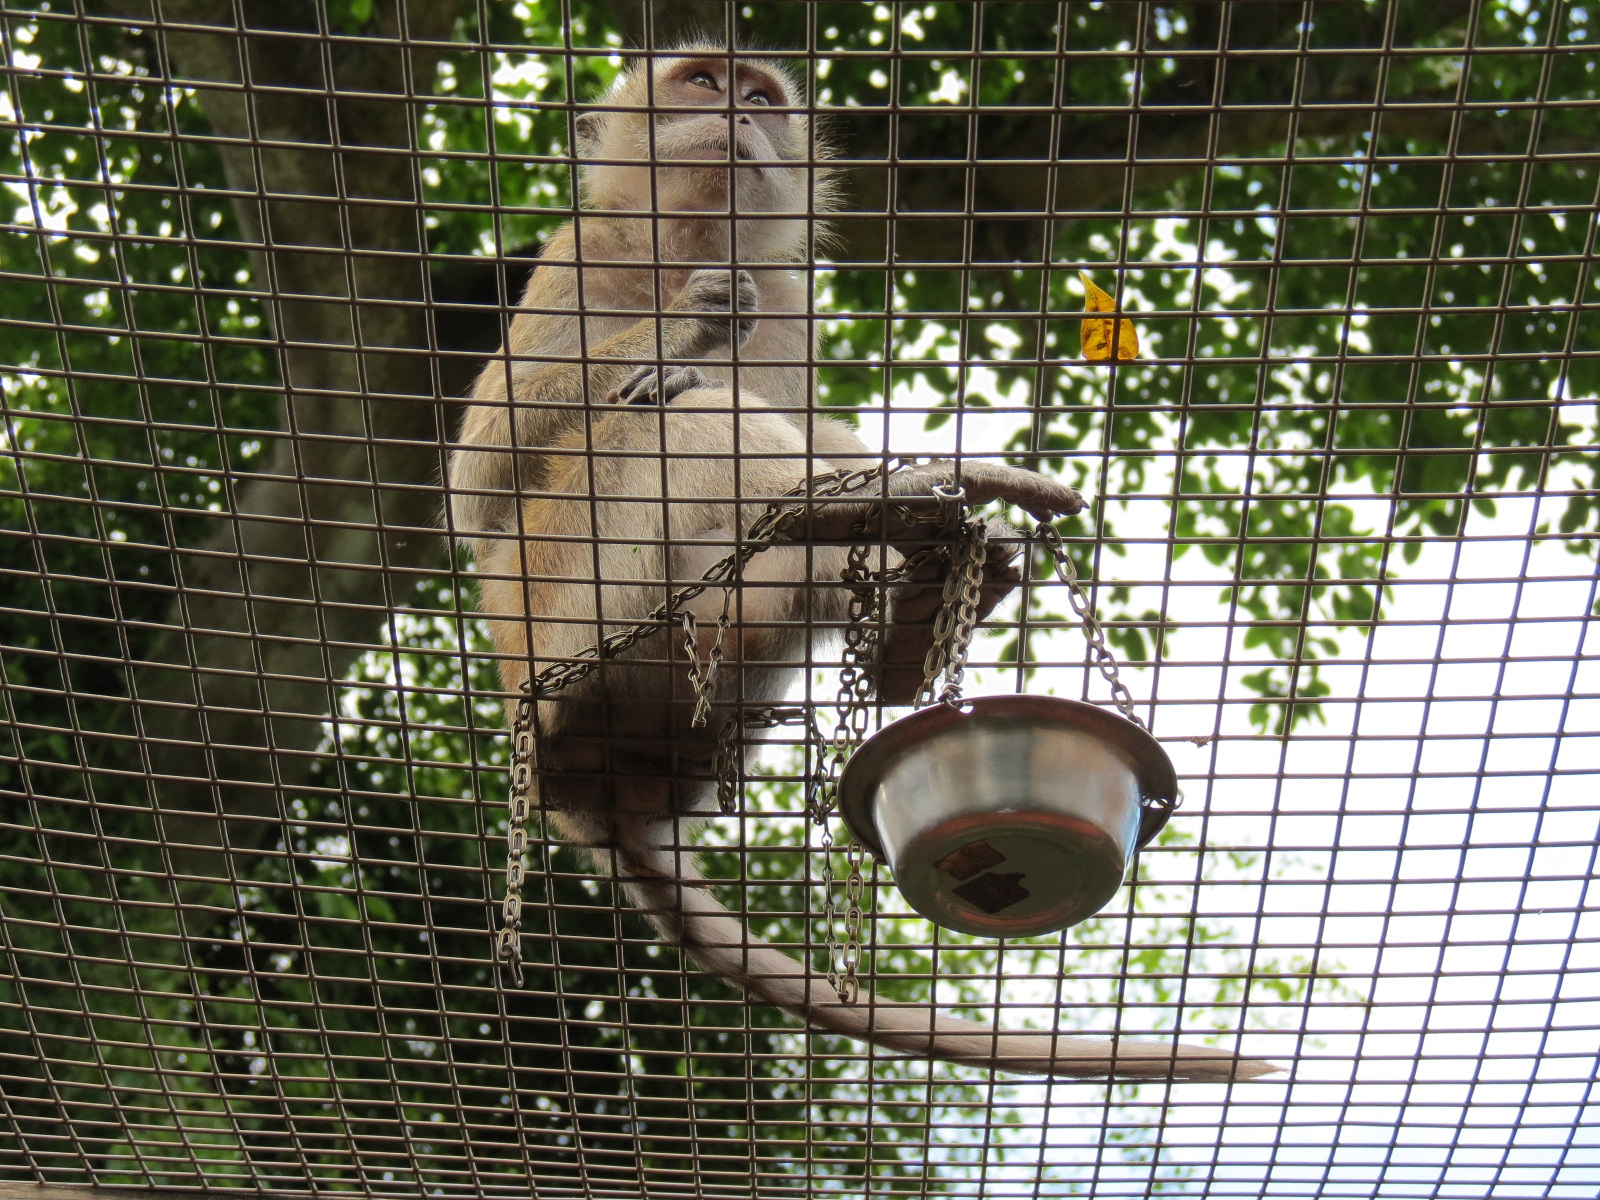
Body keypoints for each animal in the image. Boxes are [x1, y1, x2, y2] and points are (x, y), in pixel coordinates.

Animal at [447, 46, 1275, 1083]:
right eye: (702, 83)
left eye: (760, 98)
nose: (740, 113)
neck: (686, 240)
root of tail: (593, 798)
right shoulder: (579, 258)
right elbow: (483, 487)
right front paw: (685, 324)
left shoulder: (790, 300)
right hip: (568, 615)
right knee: (674, 415)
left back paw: (908, 598)